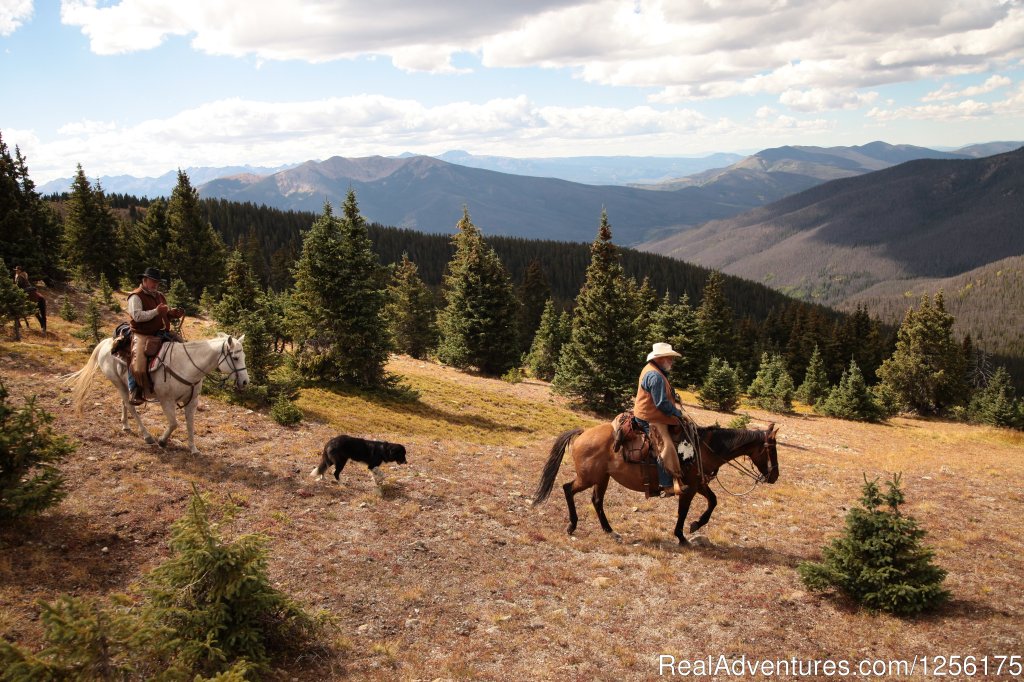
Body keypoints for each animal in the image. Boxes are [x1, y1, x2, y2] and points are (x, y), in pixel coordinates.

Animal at [67, 331, 248, 454]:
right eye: (235, 358)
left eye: (244, 356)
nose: (245, 382)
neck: (186, 365)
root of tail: (105, 342)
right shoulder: (166, 400)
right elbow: (174, 423)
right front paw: (162, 441)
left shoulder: (192, 401)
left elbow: (190, 424)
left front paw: (193, 448)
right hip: (117, 383)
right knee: (131, 406)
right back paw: (147, 436)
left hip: (124, 385)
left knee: (124, 402)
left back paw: (125, 425)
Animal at [532, 421, 778, 544]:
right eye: (770, 449)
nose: (774, 476)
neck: (703, 449)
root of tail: (583, 432)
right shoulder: (688, 488)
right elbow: (682, 512)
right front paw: (681, 535)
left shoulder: (699, 484)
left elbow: (714, 501)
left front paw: (696, 525)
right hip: (588, 477)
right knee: (568, 489)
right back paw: (572, 526)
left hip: (602, 478)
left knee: (596, 501)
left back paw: (610, 531)